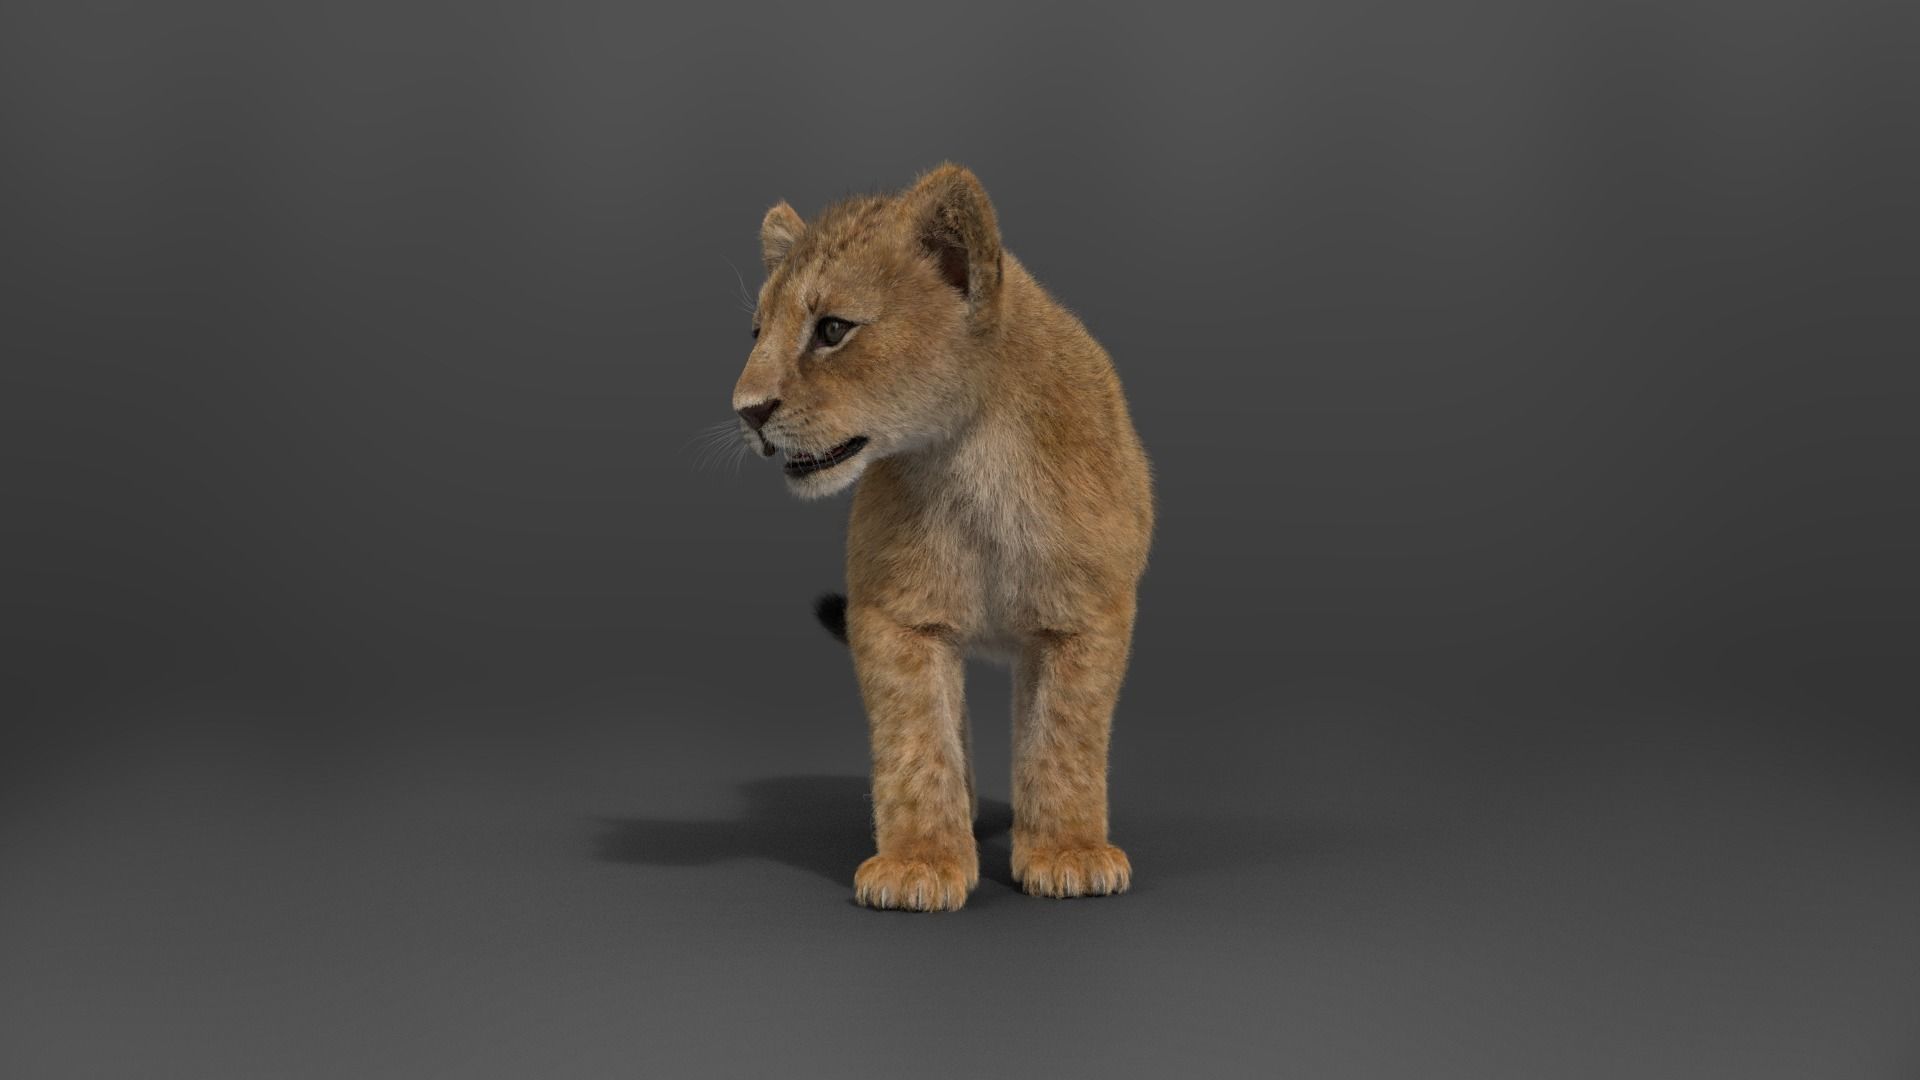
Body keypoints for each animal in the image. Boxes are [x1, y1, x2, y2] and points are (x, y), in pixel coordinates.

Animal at [730, 164, 1153, 911]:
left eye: (832, 329)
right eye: (757, 332)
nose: (746, 411)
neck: (967, 462)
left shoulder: (1085, 614)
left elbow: (1065, 738)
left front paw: (1068, 853)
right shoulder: (895, 615)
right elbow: (916, 741)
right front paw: (920, 863)